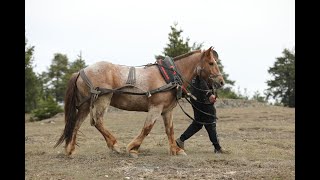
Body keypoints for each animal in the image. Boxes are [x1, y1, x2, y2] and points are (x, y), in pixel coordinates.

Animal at [54, 46, 225, 158]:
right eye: (211, 63)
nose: (221, 82)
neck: (168, 75)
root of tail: (80, 71)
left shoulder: (167, 110)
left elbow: (169, 130)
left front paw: (175, 150)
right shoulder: (155, 108)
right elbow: (147, 128)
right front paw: (132, 148)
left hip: (84, 105)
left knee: (76, 124)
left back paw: (70, 150)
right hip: (102, 100)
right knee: (97, 121)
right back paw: (115, 145)